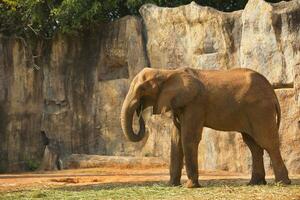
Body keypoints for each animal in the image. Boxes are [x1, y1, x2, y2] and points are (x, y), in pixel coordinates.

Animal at [119, 67, 290, 188]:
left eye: (142, 89)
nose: (140, 112)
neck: (168, 72)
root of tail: (273, 93)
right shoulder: (179, 104)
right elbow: (176, 140)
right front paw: (171, 185)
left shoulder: (195, 103)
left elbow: (189, 138)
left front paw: (190, 186)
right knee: (253, 145)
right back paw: (254, 183)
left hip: (260, 109)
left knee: (268, 143)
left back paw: (282, 183)